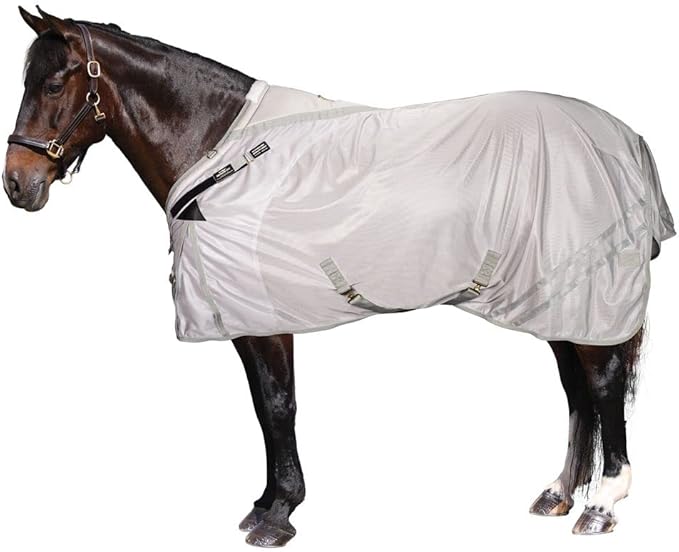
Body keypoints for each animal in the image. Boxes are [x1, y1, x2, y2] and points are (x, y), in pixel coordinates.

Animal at [3, 7, 675, 547]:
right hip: (558, 295)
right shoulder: (247, 317)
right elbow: (265, 407)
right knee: (578, 390)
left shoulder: (265, 316)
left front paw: (278, 515)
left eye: (55, 81)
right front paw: (267, 503)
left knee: (604, 384)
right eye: (25, 79)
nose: (17, 184)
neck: (224, 154)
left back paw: (602, 504)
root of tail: (626, 139)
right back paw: (560, 493)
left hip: (588, 295)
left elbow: (277, 405)